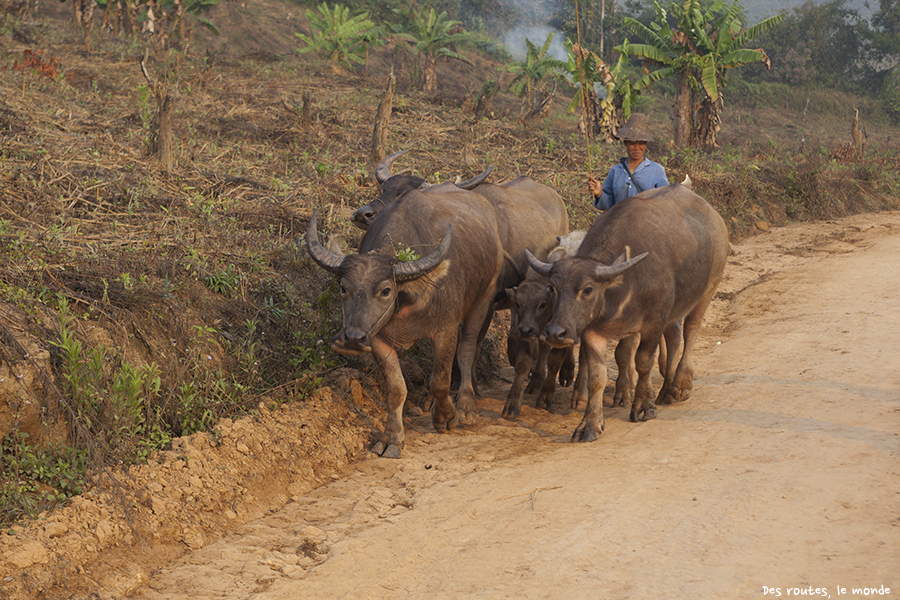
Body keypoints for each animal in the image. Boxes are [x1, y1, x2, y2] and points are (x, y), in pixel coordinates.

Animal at [304, 189, 502, 460]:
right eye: (343, 288)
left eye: (386, 291)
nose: (352, 339)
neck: (408, 296)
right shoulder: (377, 338)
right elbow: (396, 389)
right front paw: (391, 438)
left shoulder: (446, 329)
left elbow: (440, 380)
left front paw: (445, 417)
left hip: (485, 297)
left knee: (468, 350)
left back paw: (465, 406)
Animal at [528, 183, 732, 440]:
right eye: (552, 288)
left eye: (588, 289)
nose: (555, 333)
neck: (621, 286)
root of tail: (714, 215)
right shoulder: (591, 331)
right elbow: (597, 377)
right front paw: (589, 424)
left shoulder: (654, 321)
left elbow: (643, 362)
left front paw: (643, 406)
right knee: (674, 337)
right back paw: (667, 388)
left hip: (708, 288)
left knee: (691, 330)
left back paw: (680, 384)